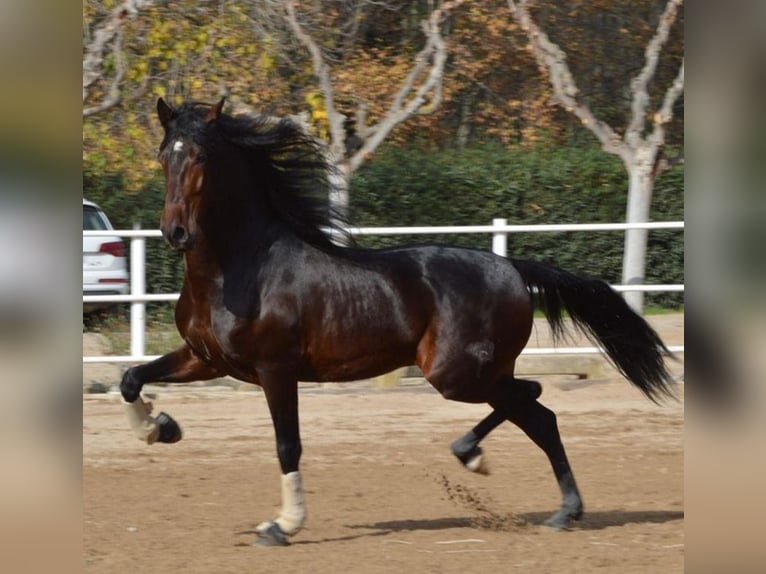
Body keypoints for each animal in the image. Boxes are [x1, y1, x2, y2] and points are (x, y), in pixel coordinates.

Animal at [117, 99, 676, 548]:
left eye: (202, 157)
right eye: (164, 155)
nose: (175, 232)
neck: (238, 270)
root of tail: (512, 267)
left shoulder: (275, 370)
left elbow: (287, 444)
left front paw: (281, 526)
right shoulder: (207, 359)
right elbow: (130, 378)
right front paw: (159, 428)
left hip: (456, 374)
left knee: (533, 396)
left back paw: (474, 456)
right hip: (475, 373)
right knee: (540, 415)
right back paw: (563, 511)